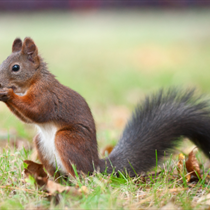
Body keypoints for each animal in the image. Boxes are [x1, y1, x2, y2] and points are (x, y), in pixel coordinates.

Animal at [0, 37, 210, 176]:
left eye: (15, 67)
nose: (1, 82)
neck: (33, 82)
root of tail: (96, 166)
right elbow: (27, 118)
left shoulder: (47, 96)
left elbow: (37, 112)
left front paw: (8, 94)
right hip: (41, 143)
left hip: (67, 140)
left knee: (83, 175)